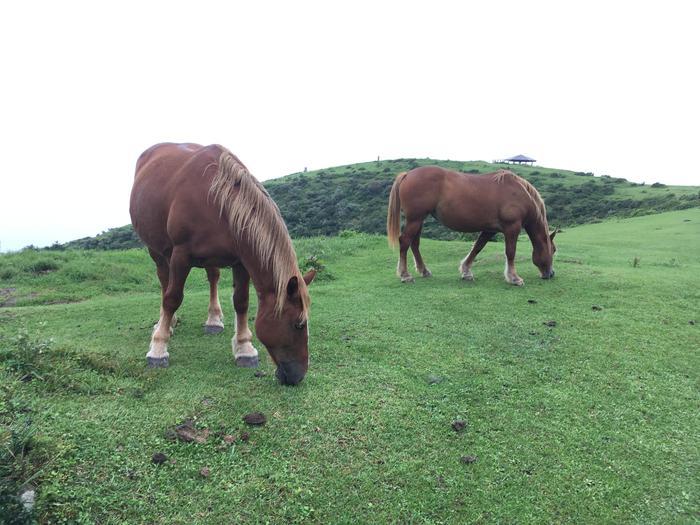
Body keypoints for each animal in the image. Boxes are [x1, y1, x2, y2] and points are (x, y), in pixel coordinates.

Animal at [130, 143, 316, 384]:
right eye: (298, 324)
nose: (298, 376)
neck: (215, 200)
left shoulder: (241, 261)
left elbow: (241, 302)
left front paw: (244, 348)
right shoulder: (181, 255)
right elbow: (172, 298)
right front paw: (158, 348)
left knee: (213, 278)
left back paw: (213, 320)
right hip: (157, 250)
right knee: (164, 281)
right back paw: (167, 324)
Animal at [386, 166, 560, 284]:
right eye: (553, 250)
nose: (551, 274)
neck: (520, 192)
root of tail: (407, 174)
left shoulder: (489, 230)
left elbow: (477, 247)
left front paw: (466, 271)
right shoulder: (512, 227)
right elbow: (510, 252)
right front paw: (514, 277)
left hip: (418, 219)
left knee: (414, 244)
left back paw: (423, 270)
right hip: (415, 219)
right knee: (405, 242)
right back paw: (405, 275)